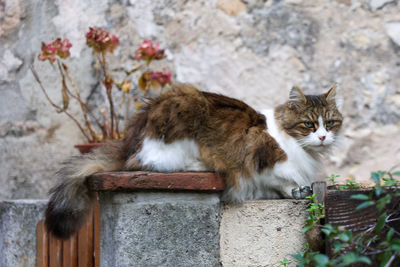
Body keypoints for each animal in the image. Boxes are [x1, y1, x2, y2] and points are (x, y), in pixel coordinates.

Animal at [45, 84, 342, 239]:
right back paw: (199, 165)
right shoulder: (259, 159)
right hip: (184, 112)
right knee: (146, 165)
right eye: (308, 125)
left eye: (330, 123)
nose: (323, 137)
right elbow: (280, 177)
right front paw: (293, 189)